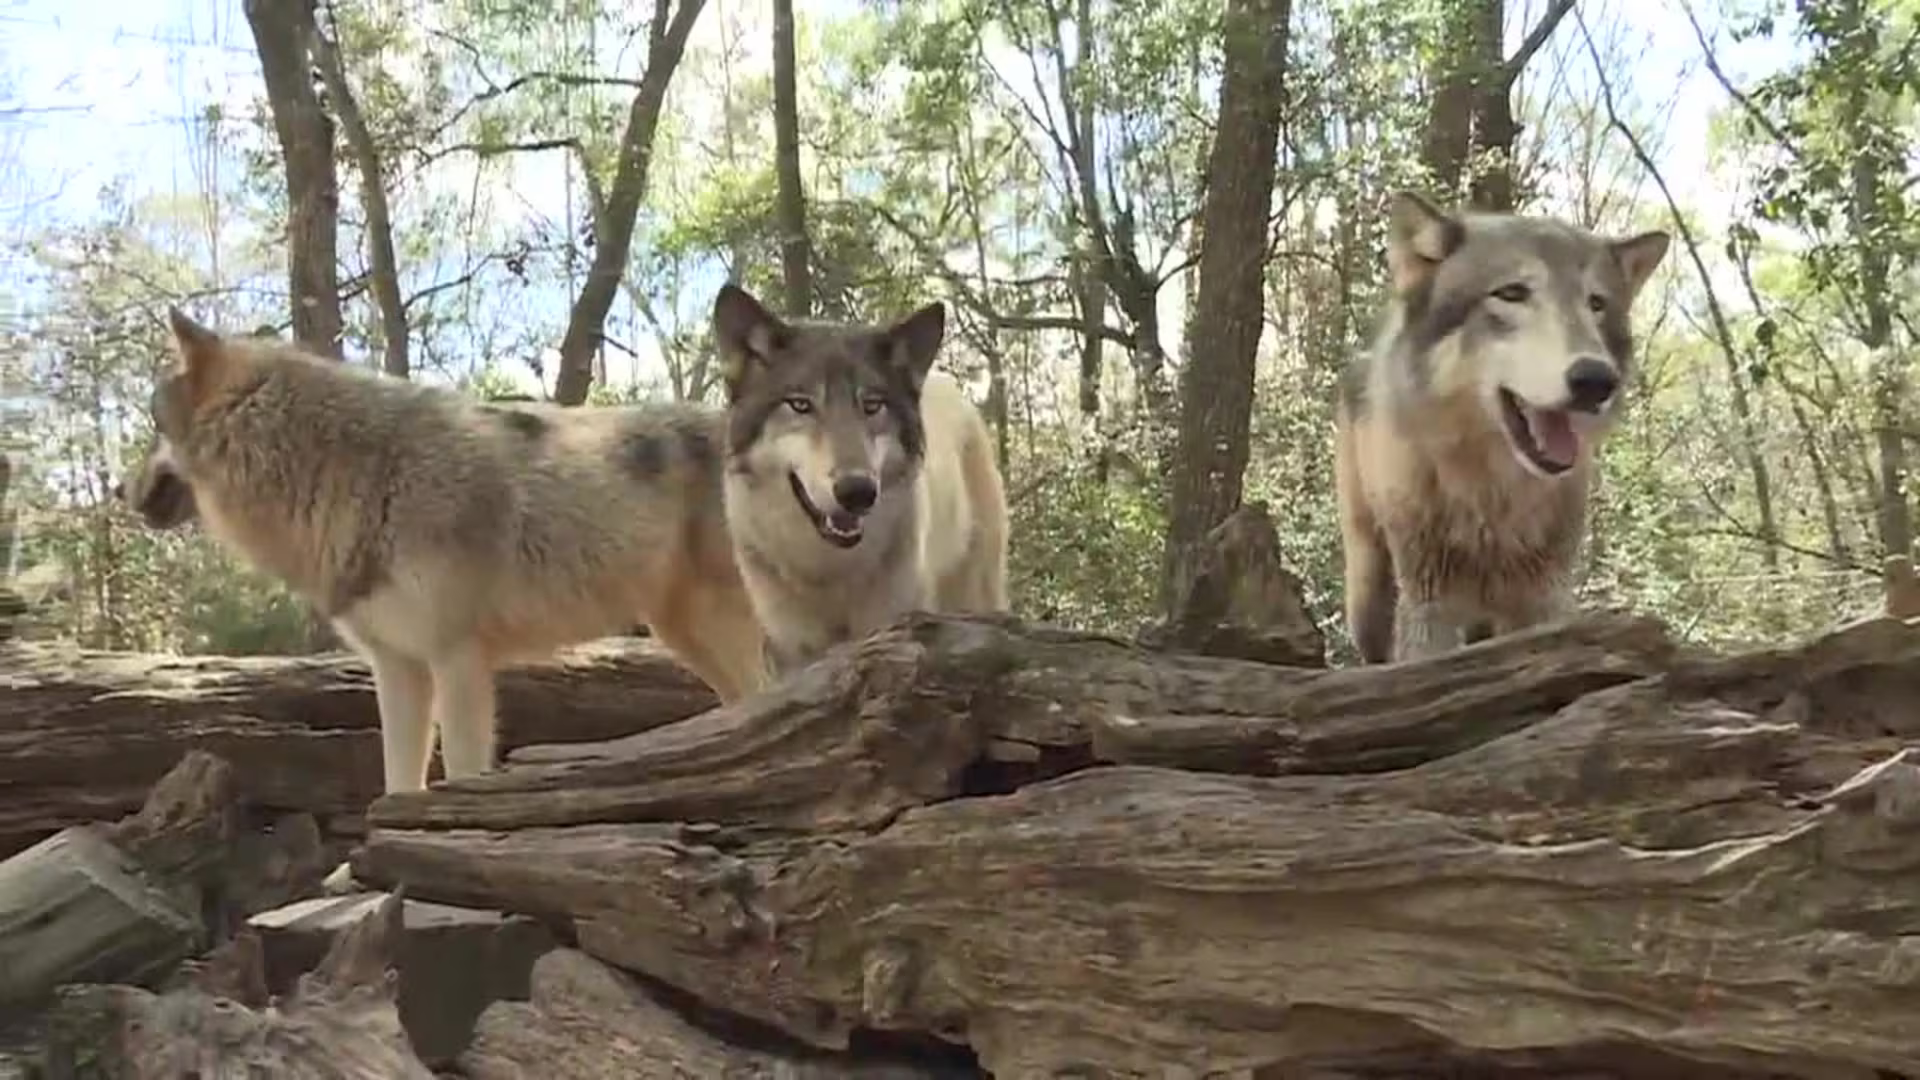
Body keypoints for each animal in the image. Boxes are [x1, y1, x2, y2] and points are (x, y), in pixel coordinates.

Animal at [123, 310, 771, 801]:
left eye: (152, 424)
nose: (118, 491)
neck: (365, 474)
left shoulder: (458, 660)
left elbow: (460, 772)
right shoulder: (397, 667)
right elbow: (398, 782)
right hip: (685, 635)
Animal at [710, 284, 1009, 673]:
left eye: (872, 406)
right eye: (800, 405)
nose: (858, 491)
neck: (830, 572)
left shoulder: (893, 630)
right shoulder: (789, 650)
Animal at [1334, 190, 1670, 664]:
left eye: (1596, 304)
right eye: (1511, 293)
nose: (1596, 380)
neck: (1493, 500)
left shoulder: (1544, 597)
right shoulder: (1430, 603)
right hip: (1368, 591)